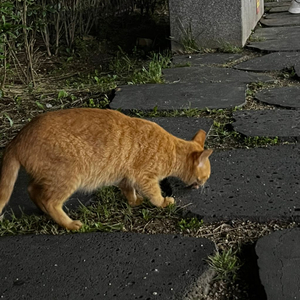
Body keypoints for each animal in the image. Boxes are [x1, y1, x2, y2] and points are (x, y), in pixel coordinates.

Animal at [0, 108, 212, 230]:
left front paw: (134, 201)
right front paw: (163, 202)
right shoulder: (145, 177)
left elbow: (129, 191)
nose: (203, 185)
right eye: (205, 177)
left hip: (46, 177)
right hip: (67, 177)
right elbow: (155, 194)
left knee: (32, 190)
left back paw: (43, 211)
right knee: (50, 201)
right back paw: (69, 224)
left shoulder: (126, 178)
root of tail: (18, 137)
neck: (172, 150)